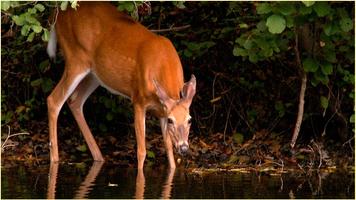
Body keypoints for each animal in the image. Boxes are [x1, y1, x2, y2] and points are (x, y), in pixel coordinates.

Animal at [45, 2, 196, 170]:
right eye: (171, 120)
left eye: (189, 120)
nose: (184, 148)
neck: (162, 65)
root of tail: (57, 13)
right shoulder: (138, 100)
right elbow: (141, 151)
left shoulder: (162, 109)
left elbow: (168, 149)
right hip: (75, 59)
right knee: (54, 100)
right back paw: (54, 160)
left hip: (95, 75)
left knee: (75, 101)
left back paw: (99, 157)